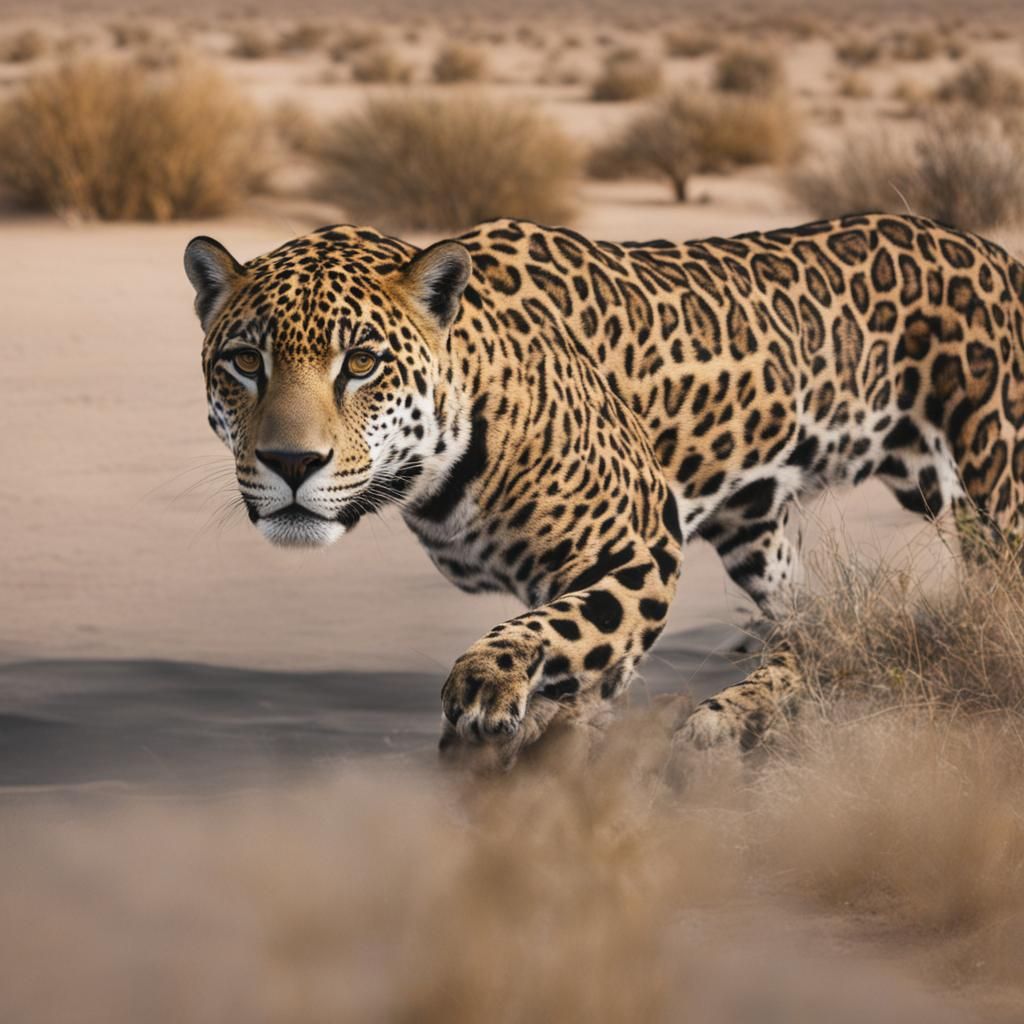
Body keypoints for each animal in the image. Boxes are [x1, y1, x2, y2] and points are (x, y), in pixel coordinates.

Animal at [184, 212, 1024, 763]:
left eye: (360, 363)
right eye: (246, 362)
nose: (292, 462)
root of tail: (992, 250)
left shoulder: (639, 547)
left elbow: (554, 630)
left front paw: (488, 689)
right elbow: (576, 657)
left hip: (995, 476)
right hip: (762, 527)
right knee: (808, 630)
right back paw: (738, 706)